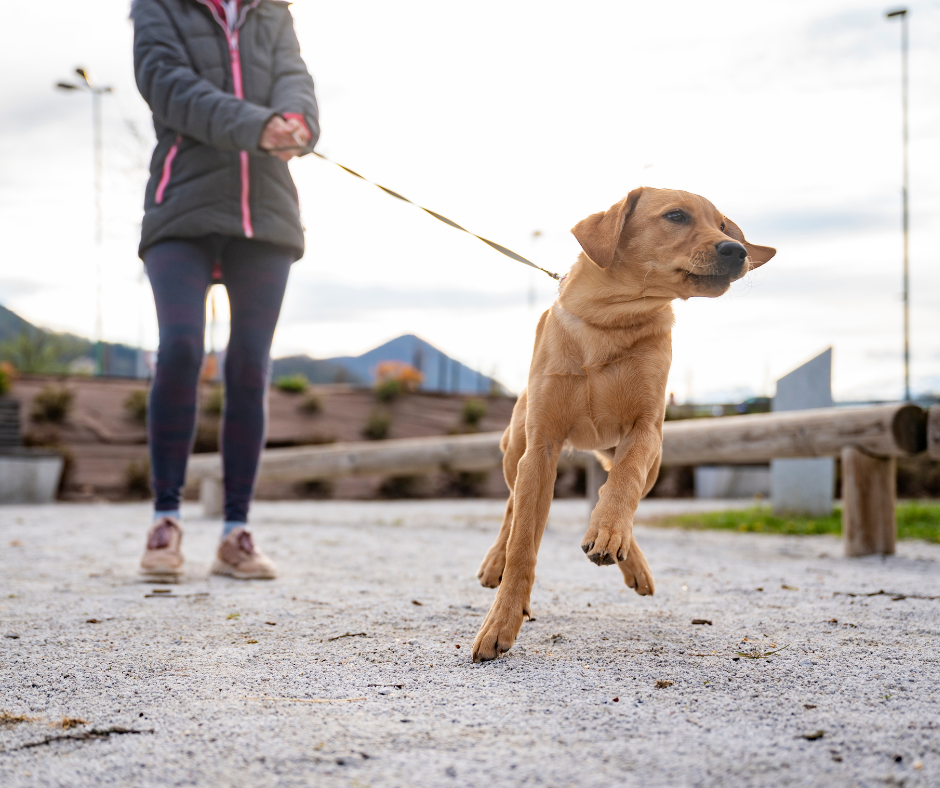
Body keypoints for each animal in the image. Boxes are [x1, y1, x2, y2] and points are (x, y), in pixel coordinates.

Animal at [474, 185, 776, 660]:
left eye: (724, 225)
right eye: (676, 216)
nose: (737, 250)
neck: (610, 321)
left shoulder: (645, 430)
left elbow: (623, 484)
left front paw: (608, 531)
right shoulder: (541, 447)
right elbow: (523, 543)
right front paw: (501, 620)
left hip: (649, 458)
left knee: (615, 487)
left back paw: (619, 548)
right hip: (514, 450)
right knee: (511, 504)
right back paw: (496, 561)